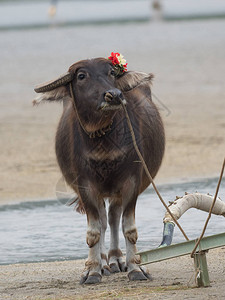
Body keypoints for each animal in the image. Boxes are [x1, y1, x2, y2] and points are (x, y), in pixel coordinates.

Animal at [33, 57, 164, 284]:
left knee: (112, 217)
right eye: (81, 76)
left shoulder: (131, 182)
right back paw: (103, 263)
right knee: (103, 220)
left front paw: (135, 268)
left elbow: (129, 228)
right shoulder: (85, 186)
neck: (103, 144)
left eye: (111, 72)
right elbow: (94, 231)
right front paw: (93, 271)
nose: (115, 95)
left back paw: (116, 259)